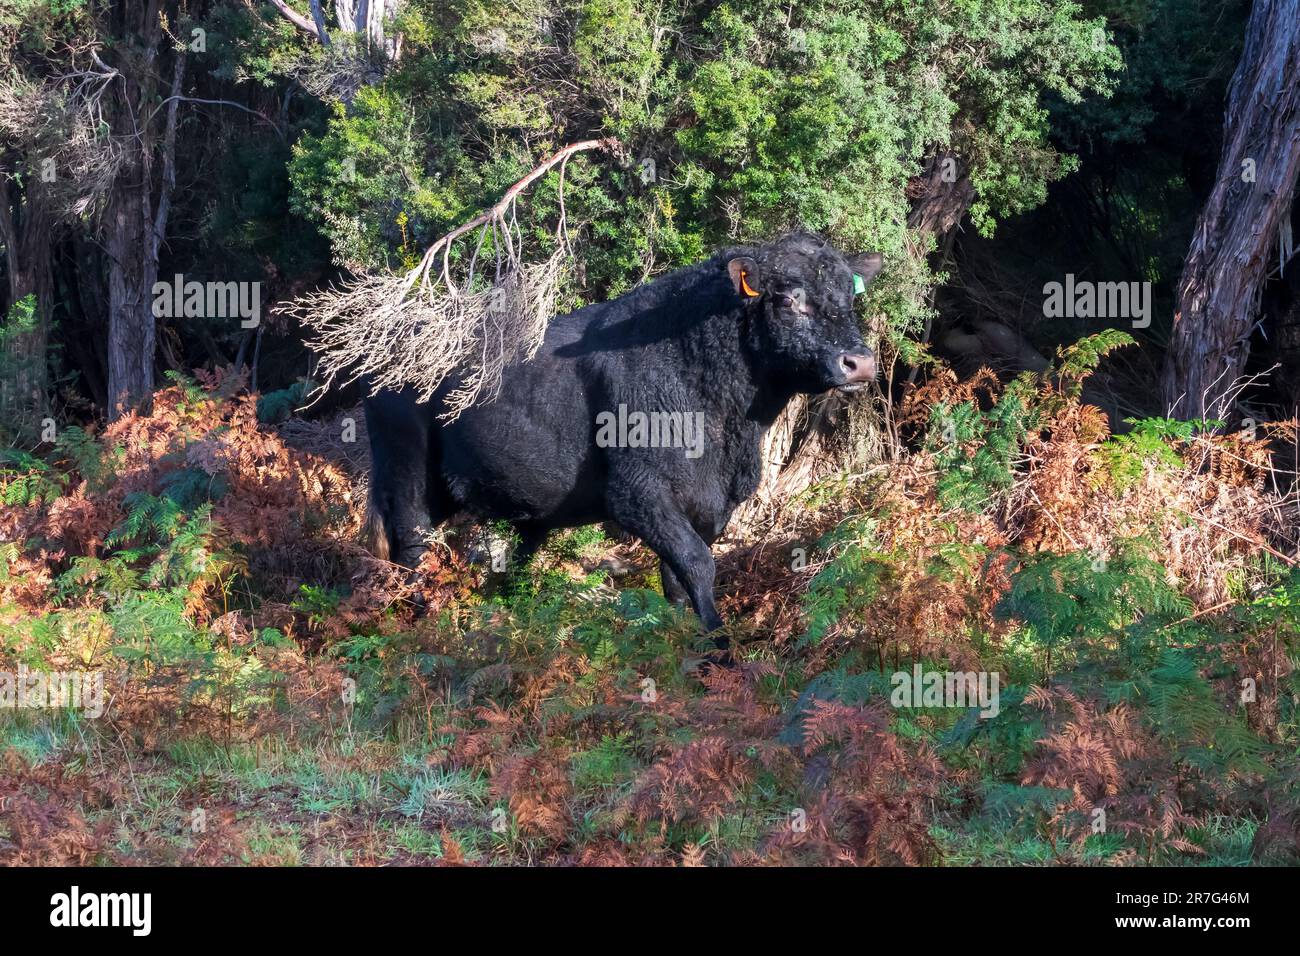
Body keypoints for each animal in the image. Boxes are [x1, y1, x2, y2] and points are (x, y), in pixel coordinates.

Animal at [364, 231, 884, 656]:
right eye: (790, 300)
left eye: (849, 297)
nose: (859, 362)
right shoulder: (637, 492)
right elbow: (698, 564)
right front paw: (719, 651)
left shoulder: (709, 502)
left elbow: (677, 578)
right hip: (404, 465)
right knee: (412, 544)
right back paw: (423, 626)